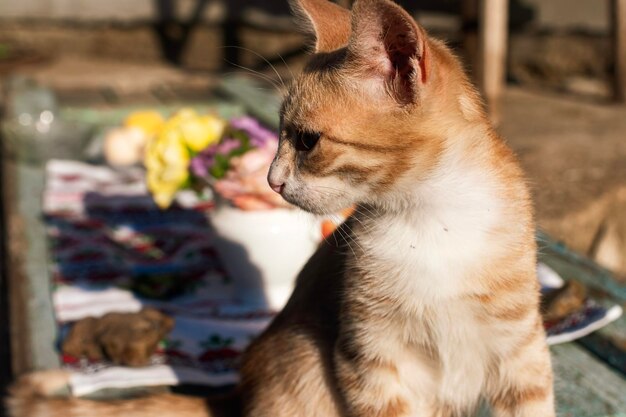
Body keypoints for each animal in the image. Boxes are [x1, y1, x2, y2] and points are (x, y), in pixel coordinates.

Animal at [6, 0, 552, 416]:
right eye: (279, 132)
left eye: (308, 140)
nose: (272, 180)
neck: (431, 221)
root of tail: (237, 393)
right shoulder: (369, 362)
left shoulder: (523, 358)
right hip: (305, 367)